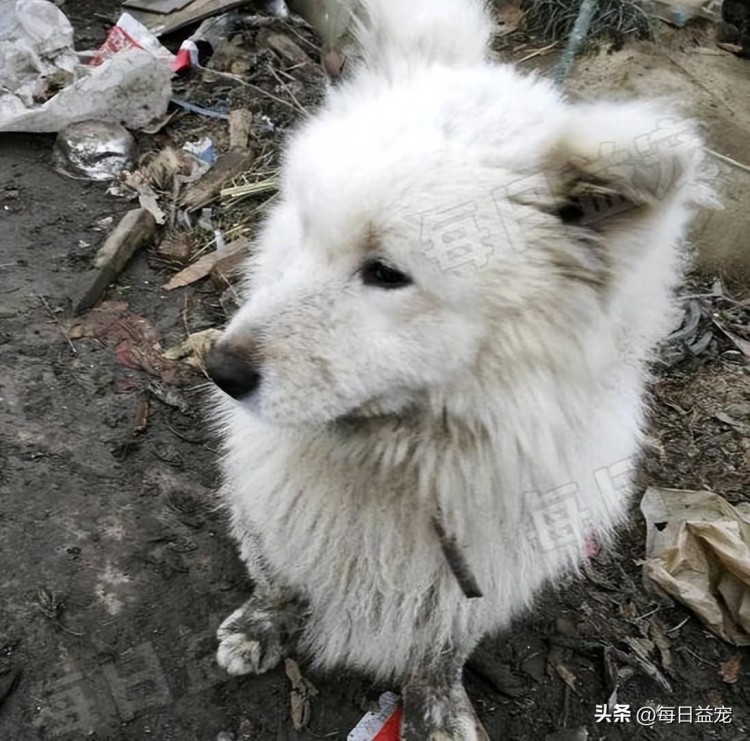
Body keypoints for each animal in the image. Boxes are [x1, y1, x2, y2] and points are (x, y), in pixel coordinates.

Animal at [207, 2, 712, 736]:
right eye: (304, 231)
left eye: (387, 274)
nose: (219, 368)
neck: (410, 462)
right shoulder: (265, 503)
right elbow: (274, 575)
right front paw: (260, 625)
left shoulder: (480, 574)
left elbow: (443, 649)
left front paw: (438, 709)